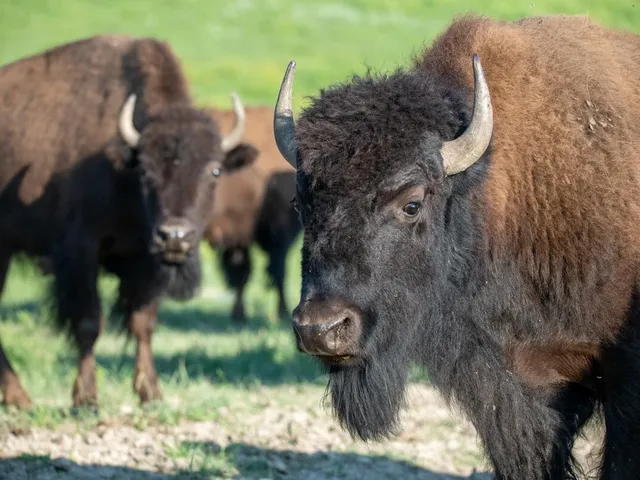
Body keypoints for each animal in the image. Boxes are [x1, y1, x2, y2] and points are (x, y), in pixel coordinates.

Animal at [0, 35, 253, 409]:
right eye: (145, 169)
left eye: (215, 170)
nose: (175, 237)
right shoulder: (81, 253)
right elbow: (88, 323)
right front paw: (86, 398)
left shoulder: (144, 262)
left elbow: (142, 323)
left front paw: (151, 393)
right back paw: (20, 398)